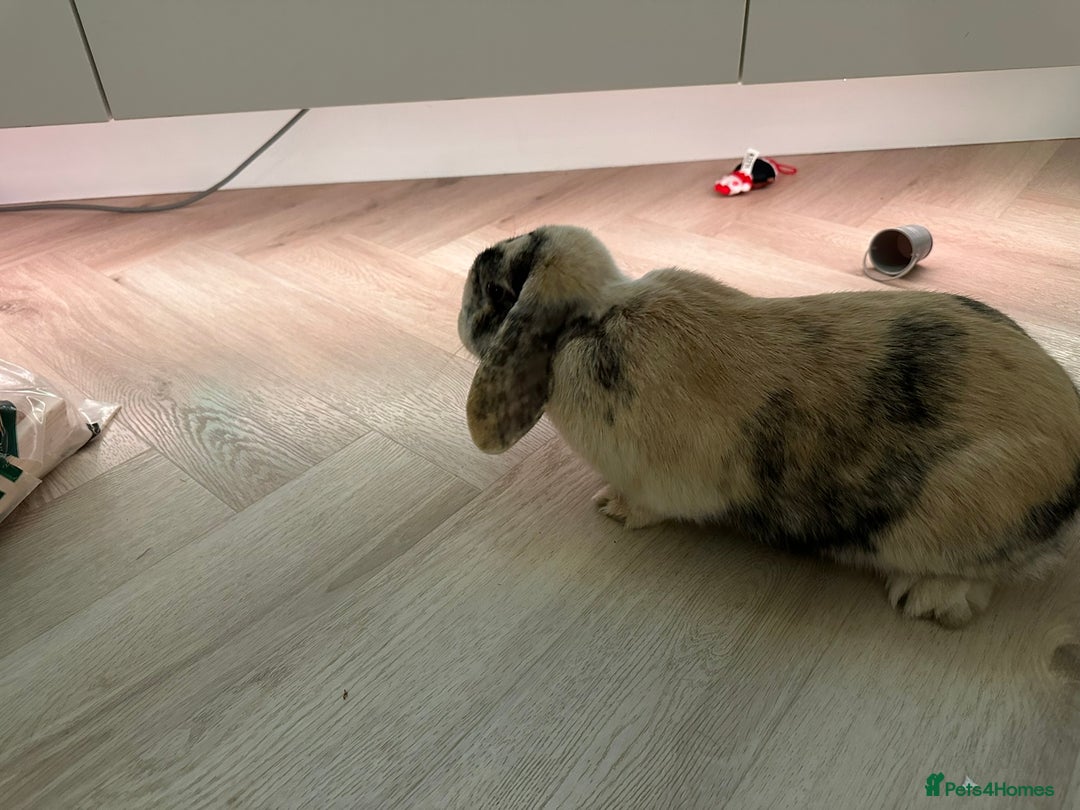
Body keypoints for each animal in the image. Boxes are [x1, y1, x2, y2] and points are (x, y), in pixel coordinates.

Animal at [457, 224, 1080, 628]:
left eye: (498, 289)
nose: (468, 281)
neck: (591, 318)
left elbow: (646, 503)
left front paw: (612, 507)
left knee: (980, 578)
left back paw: (923, 600)